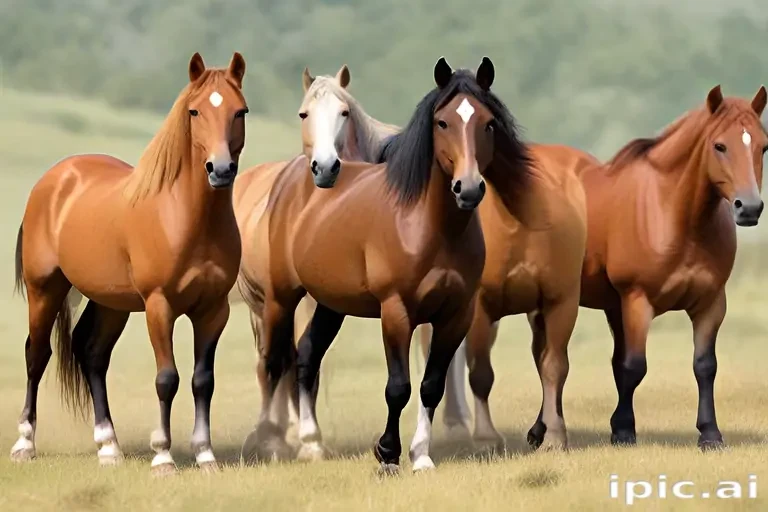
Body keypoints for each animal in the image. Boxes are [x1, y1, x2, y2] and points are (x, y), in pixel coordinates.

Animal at [10, 52, 249, 475]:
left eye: (240, 111)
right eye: (195, 111)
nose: (220, 170)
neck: (187, 218)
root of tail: (53, 180)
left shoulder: (213, 310)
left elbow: (202, 380)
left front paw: (205, 455)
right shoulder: (159, 306)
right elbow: (166, 378)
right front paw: (163, 457)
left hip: (110, 303)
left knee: (91, 353)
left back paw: (109, 447)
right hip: (45, 290)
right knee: (36, 355)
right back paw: (24, 444)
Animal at [233, 65, 398, 461]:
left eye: (345, 113)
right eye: (303, 114)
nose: (325, 168)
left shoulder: (327, 306)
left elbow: (309, 359)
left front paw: (309, 440)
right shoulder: (280, 301)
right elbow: (277, 362)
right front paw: (273, 437)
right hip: (261, 307)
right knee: (269, 362)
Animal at [253, 56, 533, 473]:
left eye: (488, 122)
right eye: (442, 122)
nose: (467, 188)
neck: (428, 225)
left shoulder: (456, 314)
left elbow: (431, 385)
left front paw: (421, 456)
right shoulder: (396, 311)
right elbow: (397, 387)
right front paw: (387, 453)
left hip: (331, 304)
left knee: (306, 355)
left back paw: (312, 443)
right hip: (281, 298)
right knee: (274, 362)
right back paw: (270, 442)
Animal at [434, 84, 768, 451]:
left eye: (763, 145)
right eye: (719, 146)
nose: (749, 208)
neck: (672, 212)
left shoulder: (710, 303)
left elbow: (704, 366)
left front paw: (710, 433)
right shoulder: (636, 300)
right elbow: (633, 366)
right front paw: (623, 429)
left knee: (545, 357)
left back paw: (541, 430)